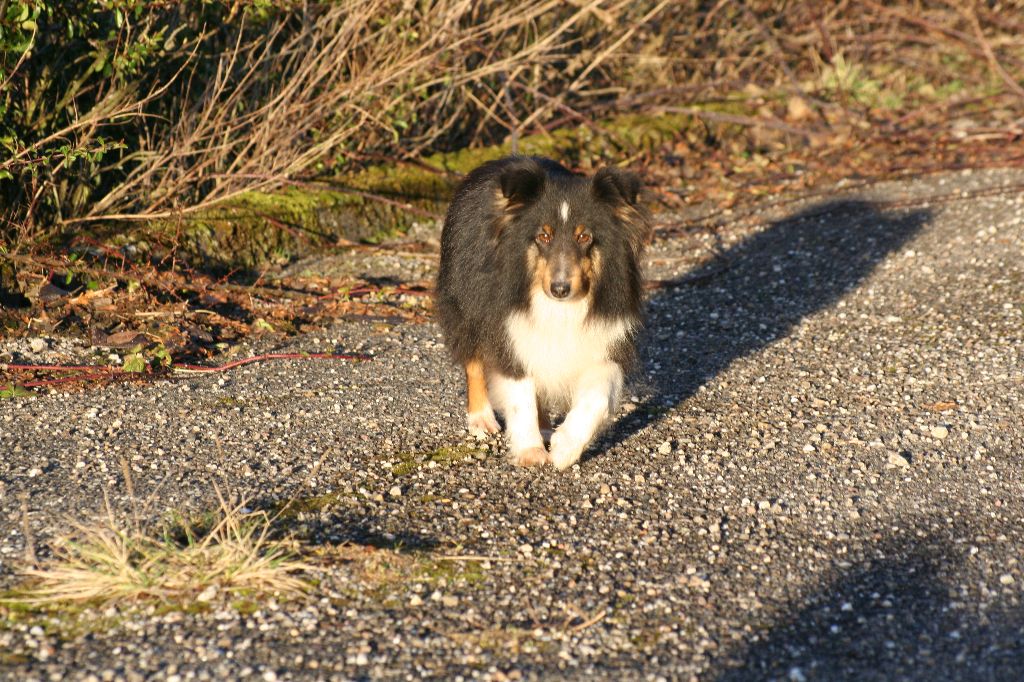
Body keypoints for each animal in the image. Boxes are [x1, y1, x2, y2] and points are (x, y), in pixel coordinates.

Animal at [436, 155, 651, 466]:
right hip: (463, 299)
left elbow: (598, 395)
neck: (560, 310)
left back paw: (547, 428)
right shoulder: (508, 326)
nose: (559, 288)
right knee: (473, 359)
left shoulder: (606, 337)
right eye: (543, 236)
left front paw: (565, 448)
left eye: (584, 236)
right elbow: (520, 391)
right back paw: (482, 419)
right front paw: (530, 451)